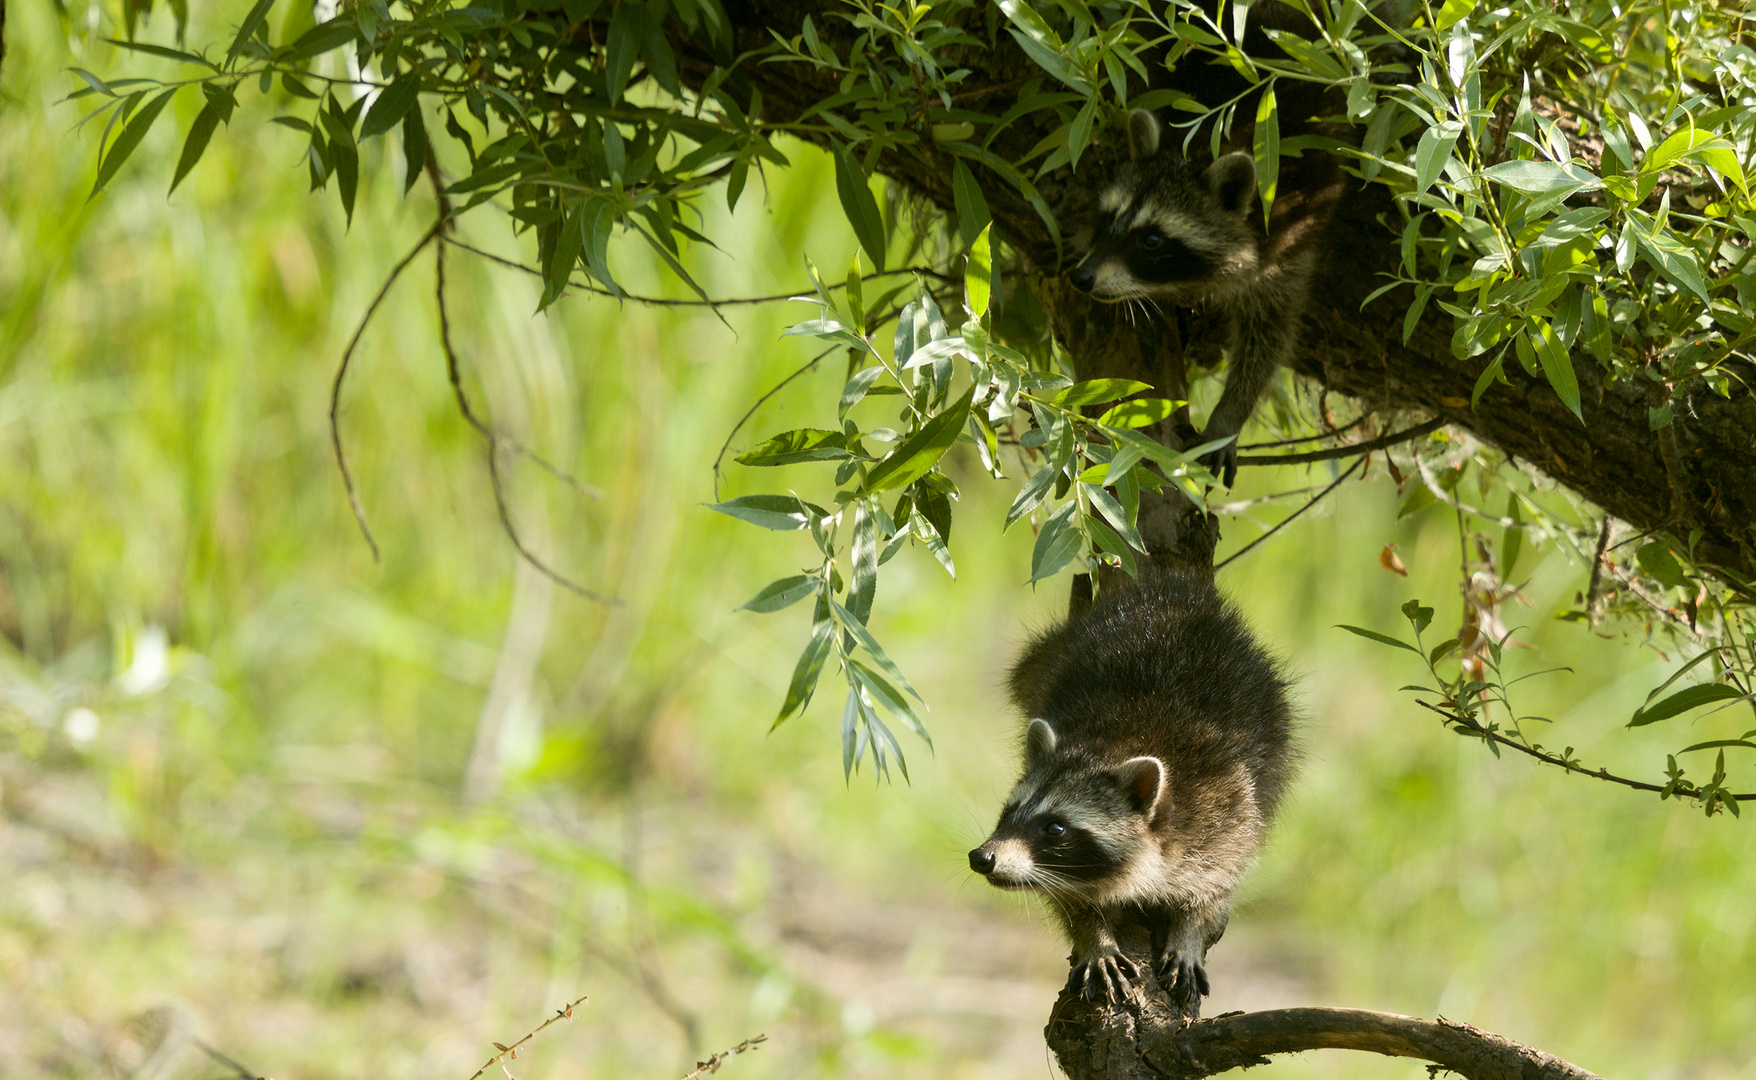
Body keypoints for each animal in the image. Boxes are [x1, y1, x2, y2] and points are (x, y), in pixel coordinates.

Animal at [969, 568, 1299, 1018]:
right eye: (1008, 812)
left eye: (1054, 828)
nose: (982, 857)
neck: (1114, 744)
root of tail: (1175, 593)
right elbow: (1068, 897)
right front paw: (1094, 933)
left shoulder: (1224, 803)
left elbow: (1220, 877)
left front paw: (1190, 927)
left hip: (1273, 718)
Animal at [1060, 109, 1334, 484]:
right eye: (1109, 217)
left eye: (1152, 240)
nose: (1082, 277)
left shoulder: (1291, 233)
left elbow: (1269, 336)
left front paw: (1229, 416)